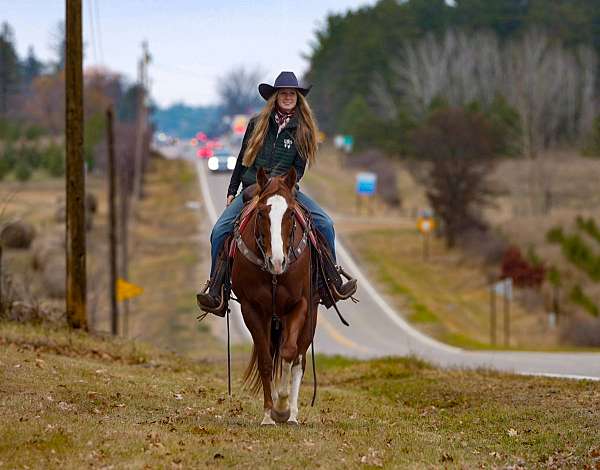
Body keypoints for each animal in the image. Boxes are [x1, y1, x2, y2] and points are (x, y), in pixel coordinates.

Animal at [231, 166, 318, 426]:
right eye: (261, 213)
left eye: (290, 213)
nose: (277, 261)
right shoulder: (251, 309)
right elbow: (266, 361)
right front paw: (270, 414)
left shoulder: (300, 304)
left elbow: (289, 353)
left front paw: (282, 407)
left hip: (311, 315)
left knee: (299, 358)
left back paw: (293, 414)